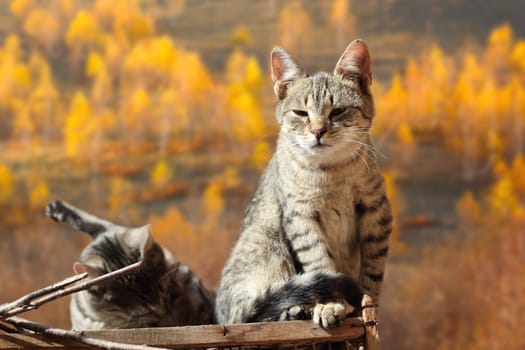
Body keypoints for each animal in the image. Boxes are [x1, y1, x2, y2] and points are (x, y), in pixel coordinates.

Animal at [215, 40, 390, 328]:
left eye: (338, 111)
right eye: (301, 113)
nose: (318, 131)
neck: (332, 172)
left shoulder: (376, 211)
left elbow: (372, 272)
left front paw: (367, 307)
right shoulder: (301, 217)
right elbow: (320, 262)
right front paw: (330, 305)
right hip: (267, 241)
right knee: (252, 313)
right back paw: (295, 310)